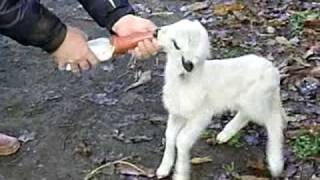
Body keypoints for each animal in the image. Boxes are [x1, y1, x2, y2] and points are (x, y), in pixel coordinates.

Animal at [155, 19, 284, 179]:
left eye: (176, 44)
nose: (155, 32)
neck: (185, 81)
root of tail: (273, 71)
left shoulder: (201, 115)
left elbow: (182, 140)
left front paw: (181, 174)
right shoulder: (177, 113)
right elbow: (170, 136)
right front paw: (163, 169)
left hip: (256, 101)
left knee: (273, 118)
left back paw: (276, 162)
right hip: (249, 101)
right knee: (247, 114)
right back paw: (224, 135)